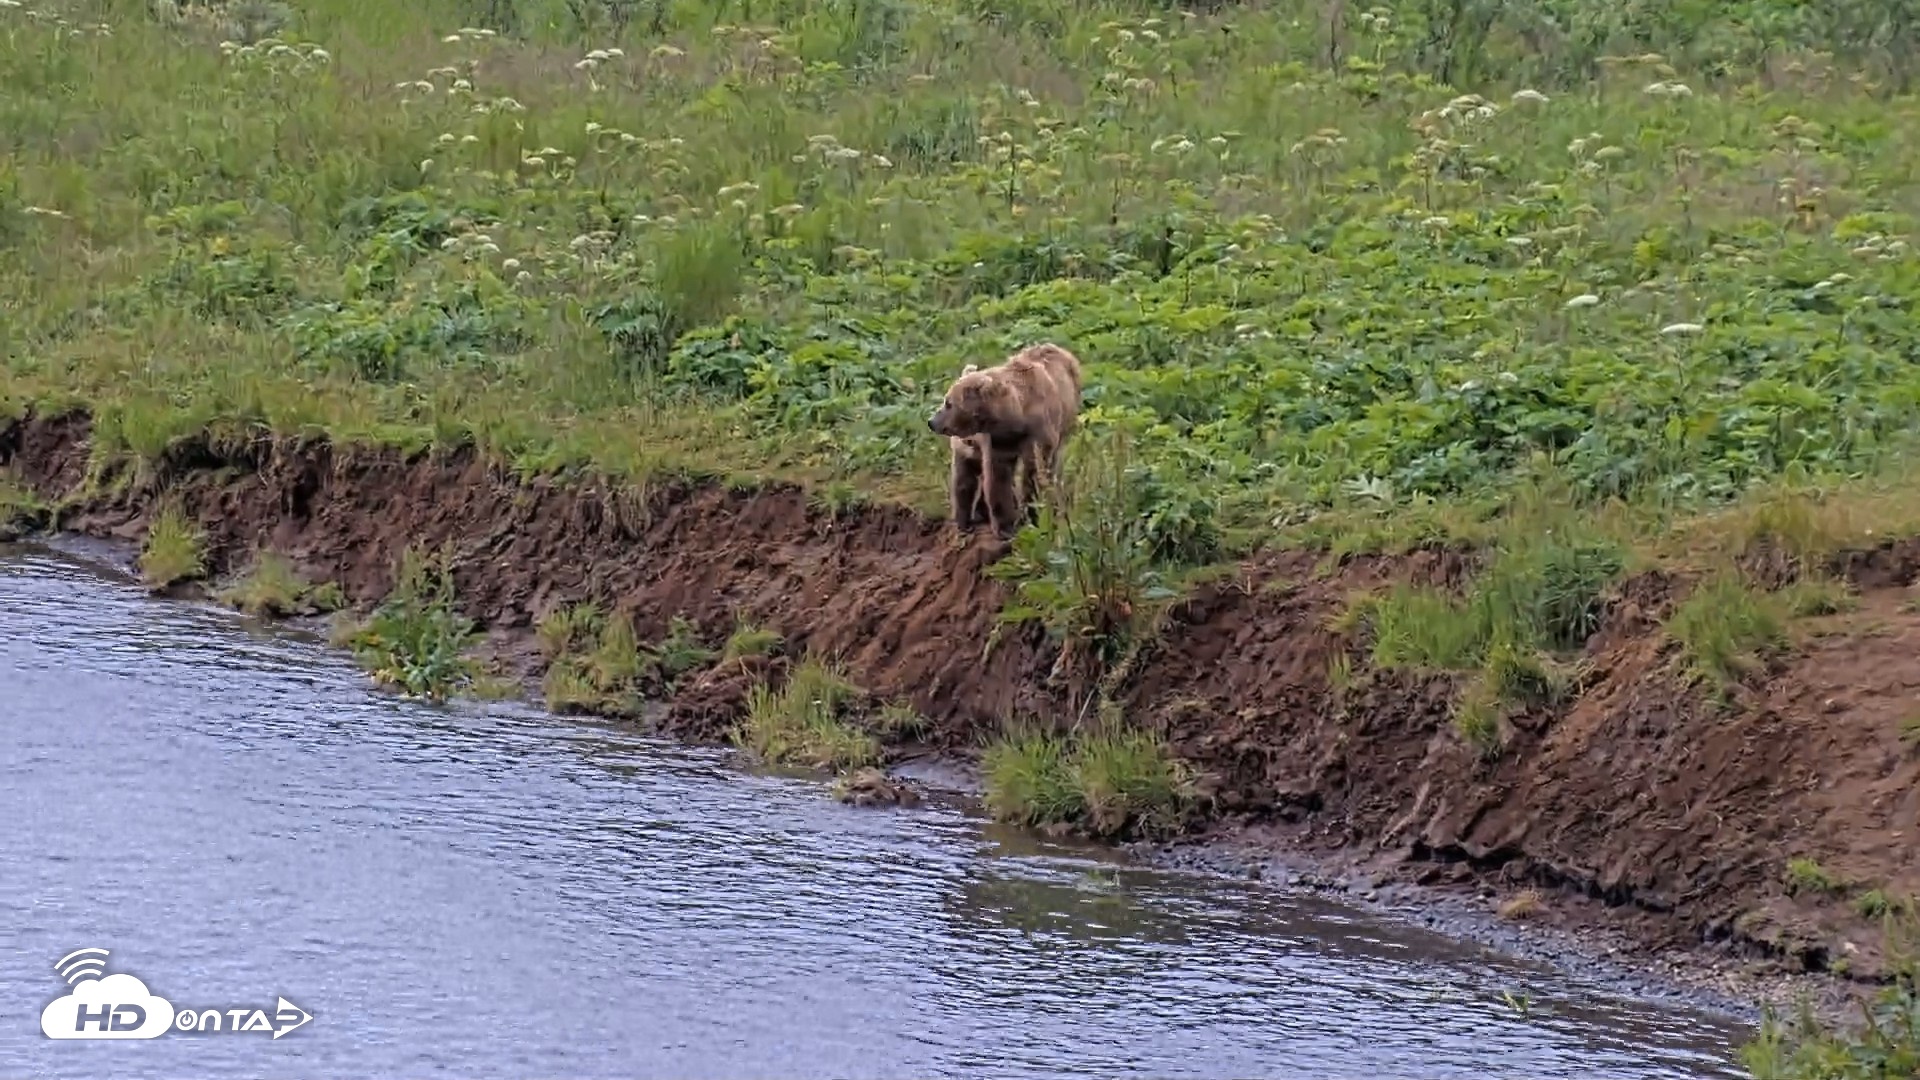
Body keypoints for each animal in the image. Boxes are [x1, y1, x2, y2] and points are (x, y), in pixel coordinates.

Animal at [928, 343, 1083, 539]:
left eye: (948, 403)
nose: (931, 422)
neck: (1017, 415)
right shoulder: (1000, 441)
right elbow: (997, 479)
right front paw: (1005, 526)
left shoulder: (1039, 433)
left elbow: (1034, 472)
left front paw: (1034, 513)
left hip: (1066, 421)